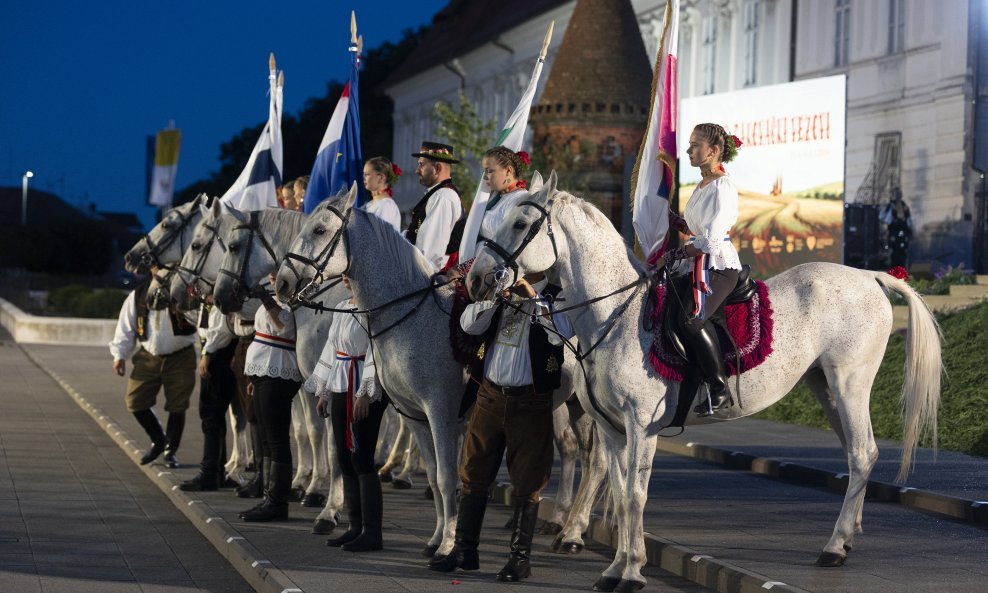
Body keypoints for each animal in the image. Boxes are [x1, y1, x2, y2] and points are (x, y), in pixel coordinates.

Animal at [466, 173, 944, 588]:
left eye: (521, 223)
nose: (476, 279)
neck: (614, 317)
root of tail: (870, 276)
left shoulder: (641, 427)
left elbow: (635, 495)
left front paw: (632, 572)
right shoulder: (613, 427)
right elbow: (620, 493)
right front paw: (616, 568)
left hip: (850, 384)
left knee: (863, 453)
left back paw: (831, 547)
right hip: (824, 386)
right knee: (855, 455)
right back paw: (845, 539)